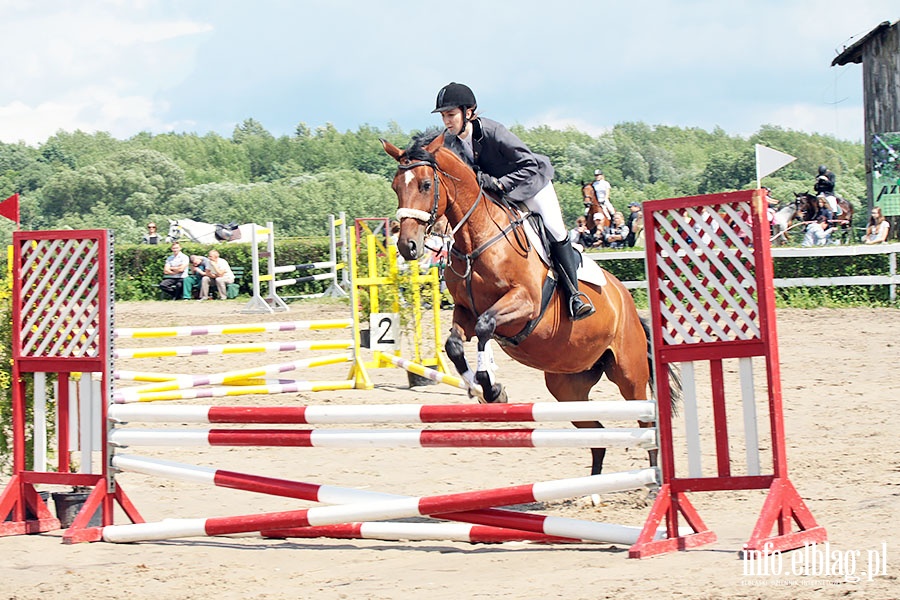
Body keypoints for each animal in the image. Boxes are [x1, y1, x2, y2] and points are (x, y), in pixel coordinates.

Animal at [380, 132, 668, 478]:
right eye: (396, 186)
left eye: (425, 184)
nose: (407, 247)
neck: (478, 237)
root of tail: (628, 304)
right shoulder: (464, 310)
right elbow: (454, 344)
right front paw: (481, 389)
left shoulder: (524, 304)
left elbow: (486, 326)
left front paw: (490, 387)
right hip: (567, 387)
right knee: (596, 434)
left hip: (629, 374)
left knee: (645, 423)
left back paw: (653, 480)